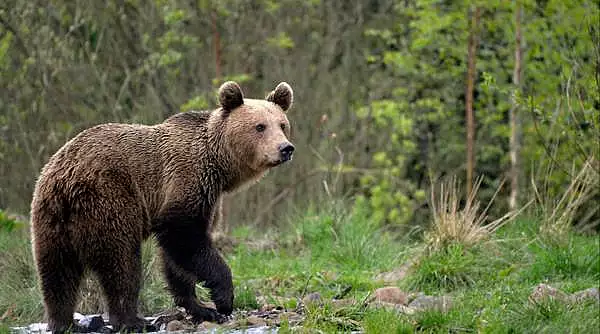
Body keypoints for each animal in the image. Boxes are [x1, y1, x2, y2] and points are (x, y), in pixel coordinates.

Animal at [28, 81, 296, 334]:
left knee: (57, 273)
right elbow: (184, 236)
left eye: (282, 125)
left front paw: (201, 307)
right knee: (122, 262)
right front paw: (223, 299)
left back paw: (64, 322)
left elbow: (177, 258)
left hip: (50, 219)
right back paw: (132, 320)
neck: (219, 165)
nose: (286, 148)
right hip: (109, 199)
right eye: (260, 126)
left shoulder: (209, 196)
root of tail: (65, 179)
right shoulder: (187, 180)